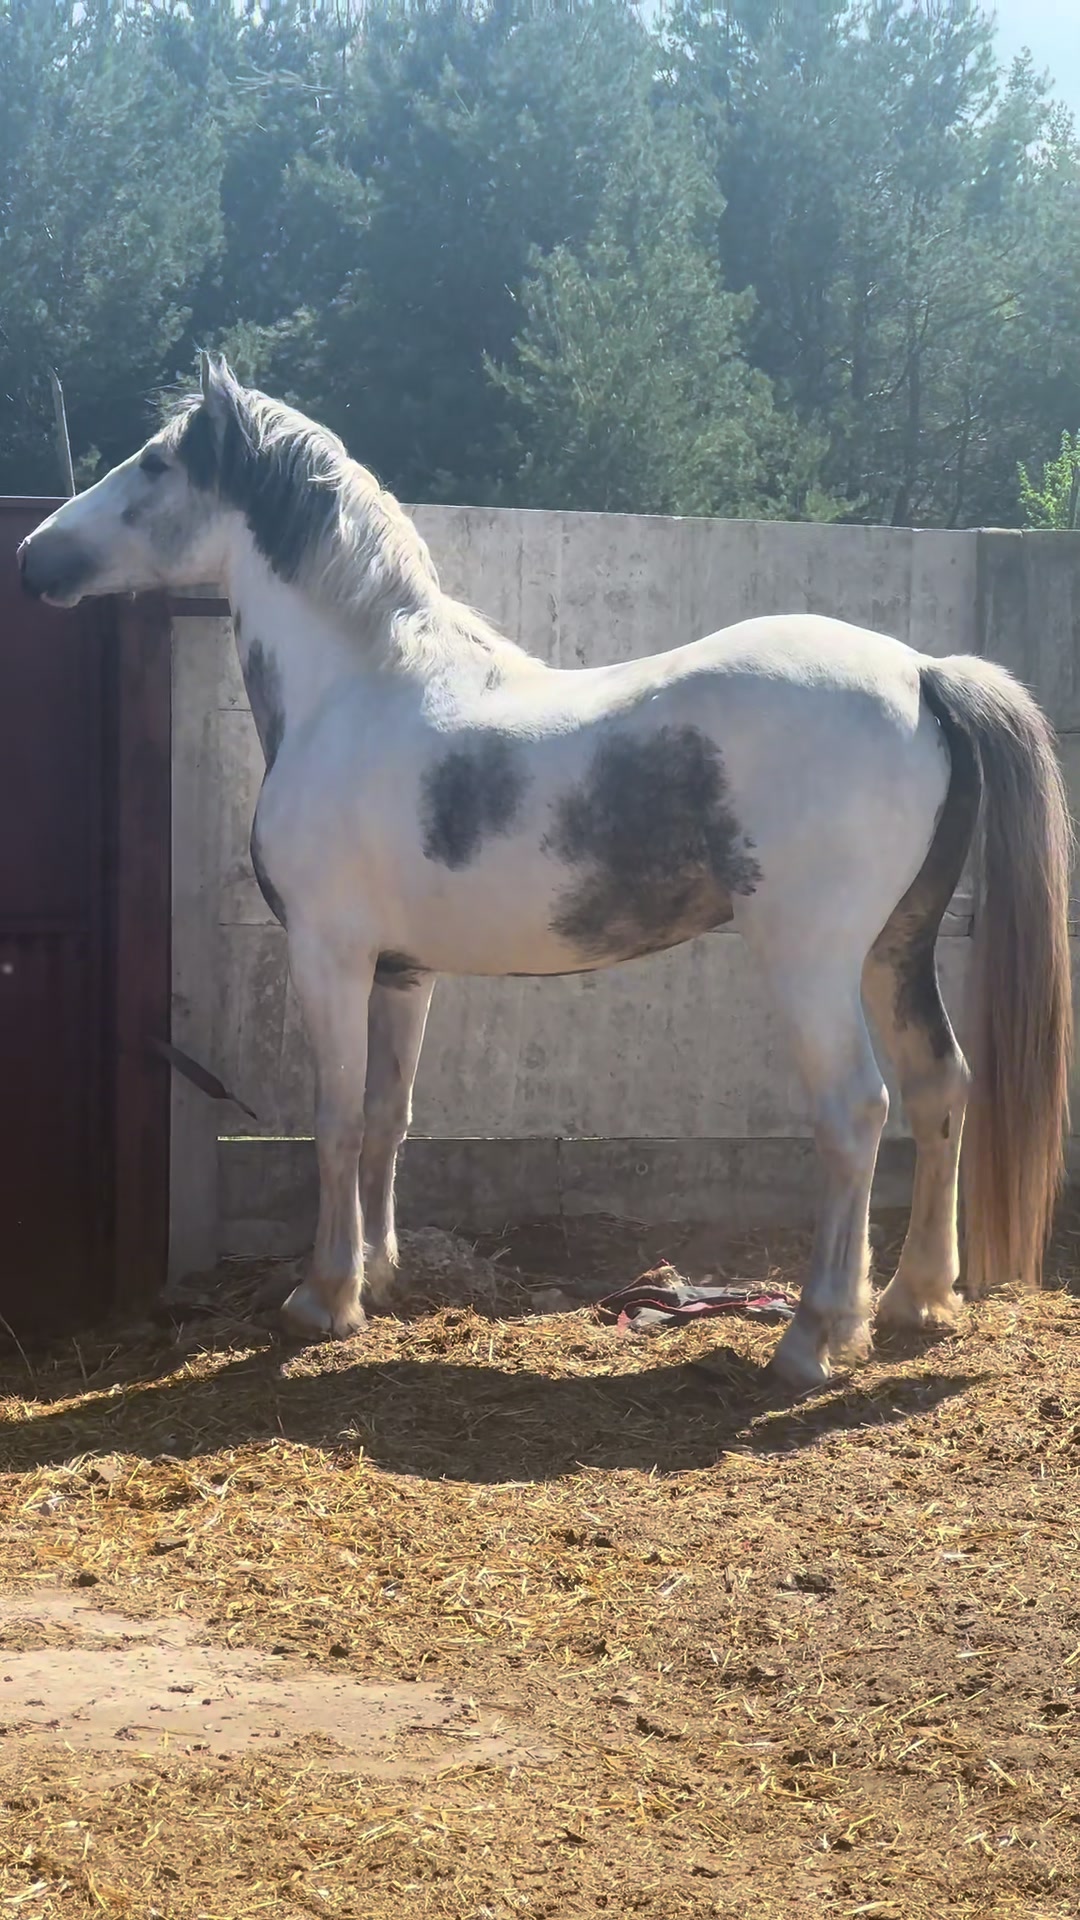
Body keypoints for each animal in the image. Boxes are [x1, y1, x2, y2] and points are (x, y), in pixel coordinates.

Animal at [18, 355, 1073, 1391]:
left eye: (156, 463)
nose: (33, 557)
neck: (355, 692)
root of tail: (922, 674)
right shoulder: (403, 972)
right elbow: (386, 1117)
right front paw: (380, 1274)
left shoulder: (330, 954)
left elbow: (334, 1120)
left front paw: (322, 1299)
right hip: (899, 945)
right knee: (939, 1087)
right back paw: (915, 1301)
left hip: (810, 958)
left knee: (857, 1112)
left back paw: (814, 1336)